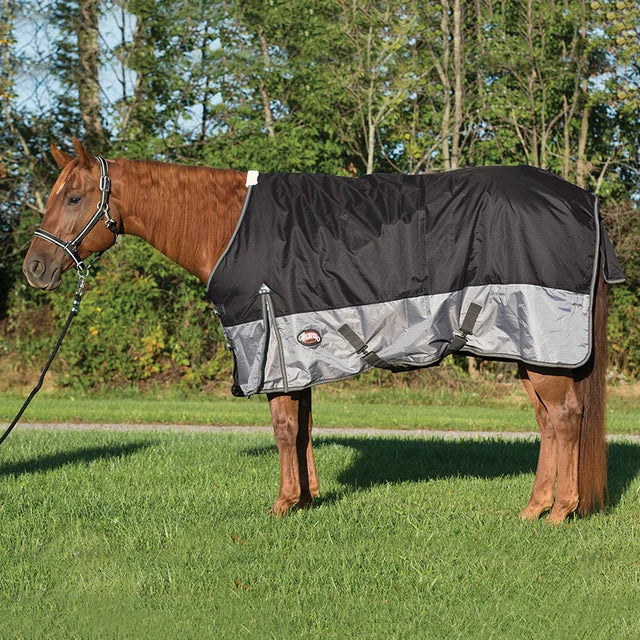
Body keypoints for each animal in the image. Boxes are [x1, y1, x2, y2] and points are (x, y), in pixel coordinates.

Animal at [23, 138, 612, 524]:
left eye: (73, 198)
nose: (34, 268)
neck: (229, 229)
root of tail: (585, 200)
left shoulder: (272, 347)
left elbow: (284, 429)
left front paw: (282, 506)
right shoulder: (299, 349)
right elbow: (302, 428)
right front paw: (306, 499)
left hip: (544, 346)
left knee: (565, 419)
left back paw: (559, 512)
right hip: (531, 349)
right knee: (549, 421)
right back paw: (534, 508)